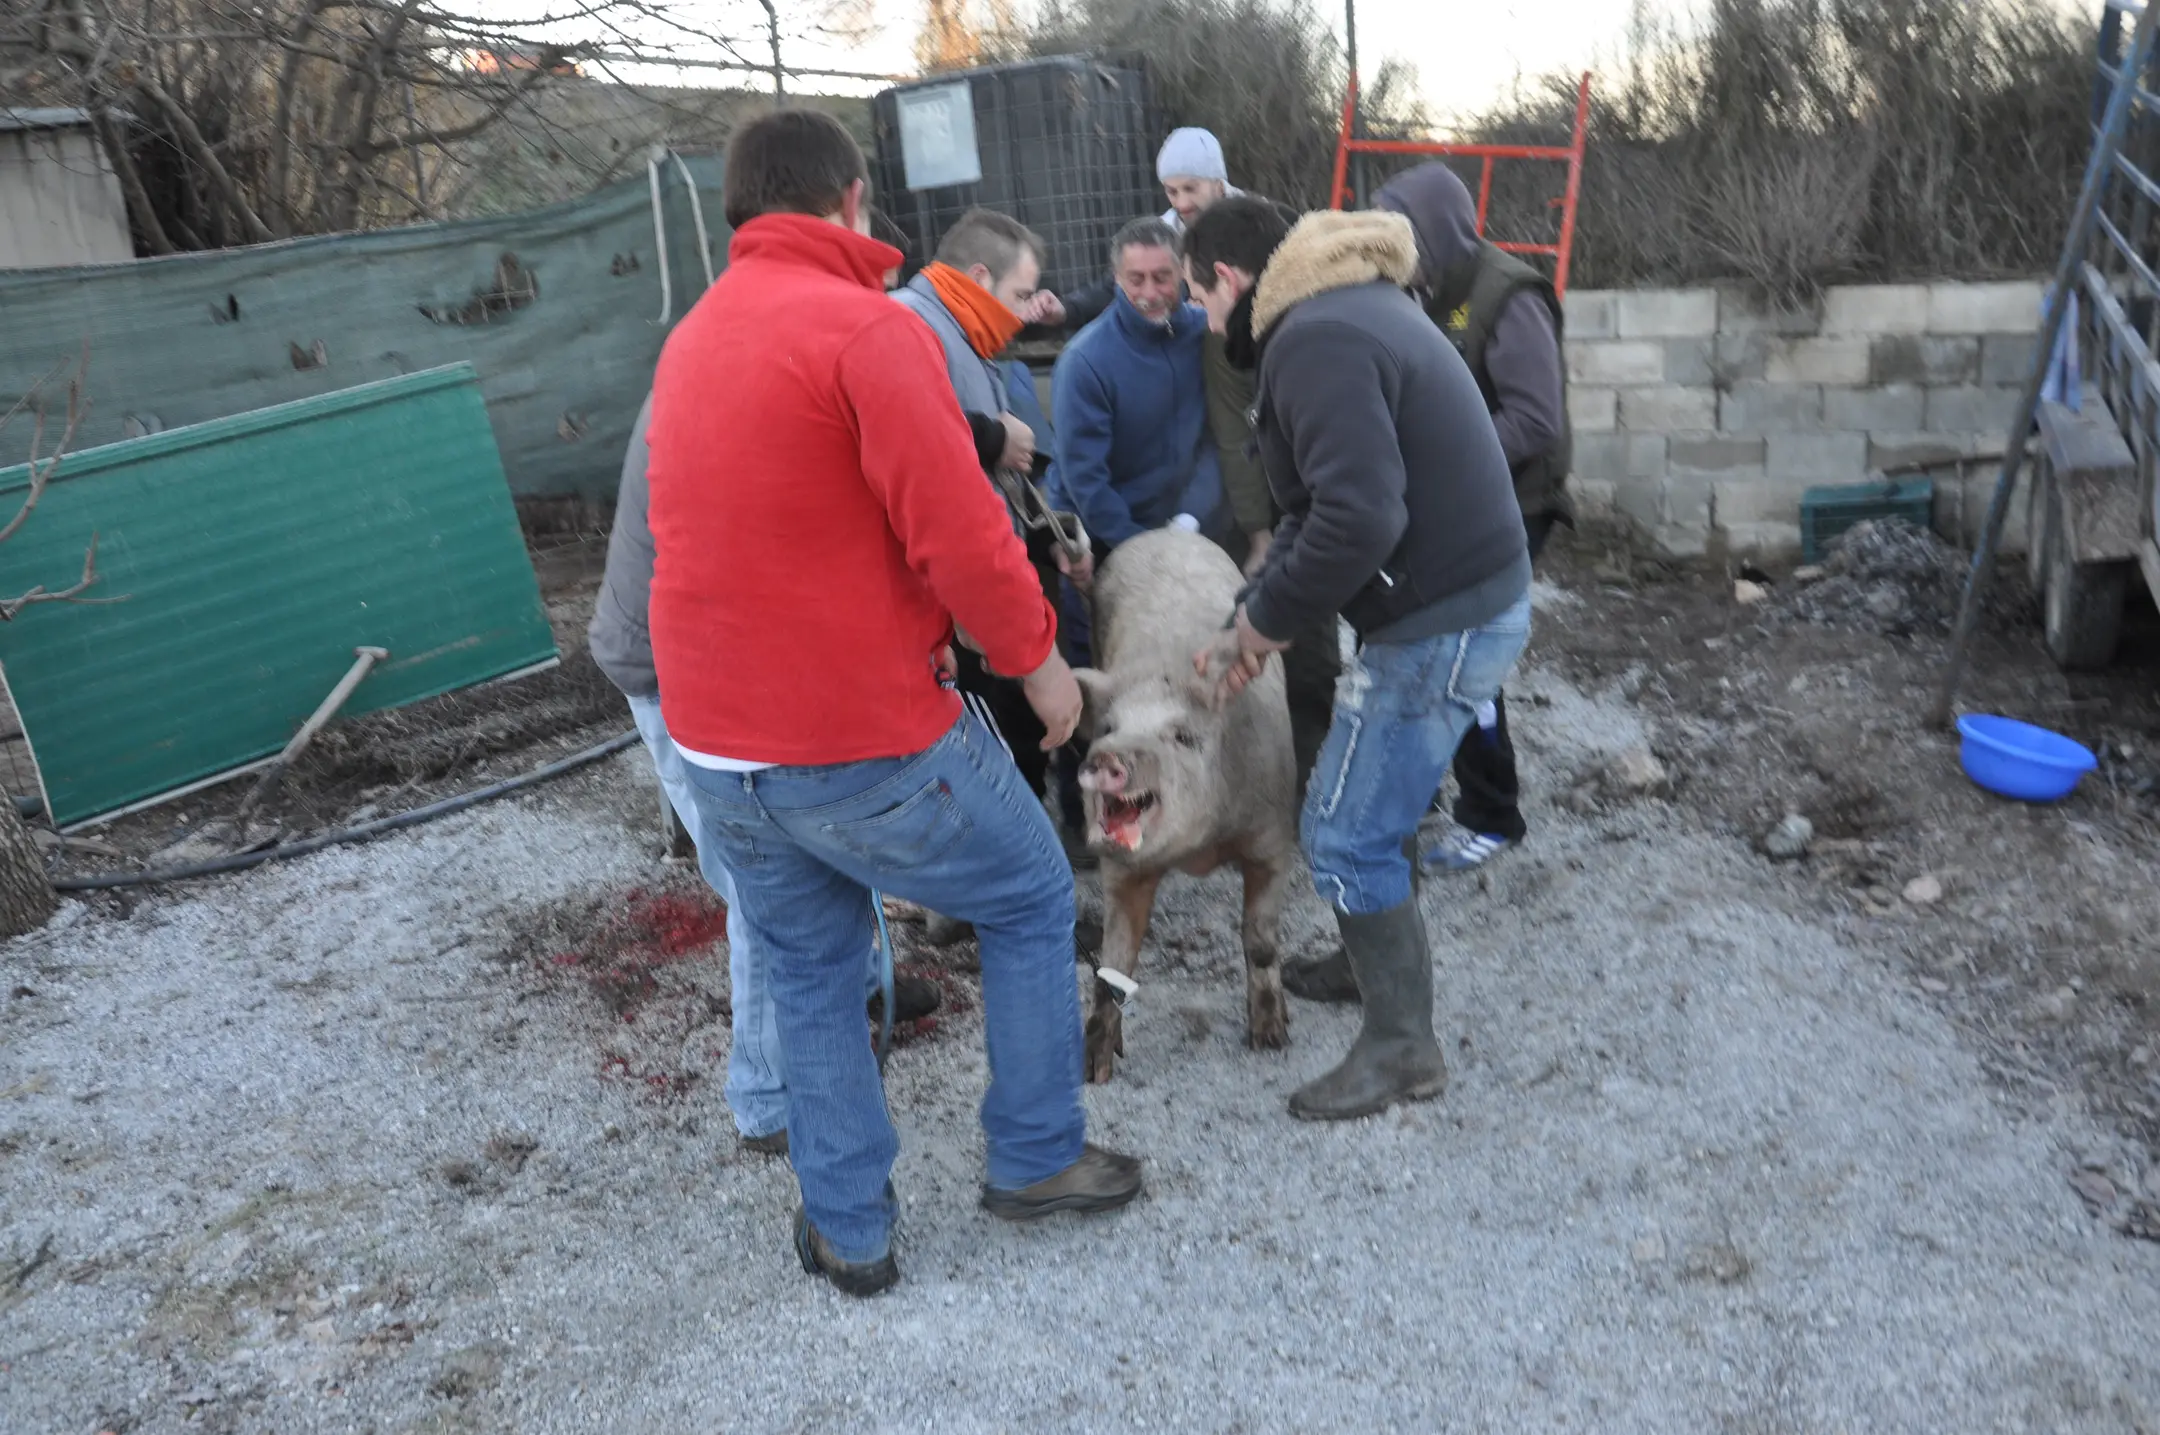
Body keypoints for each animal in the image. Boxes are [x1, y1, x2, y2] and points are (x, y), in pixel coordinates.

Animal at [1067, 531, 1287, 1080]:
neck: (1200, 849)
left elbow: (1260, 940)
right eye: (1108, 727)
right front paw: (1094, 1072)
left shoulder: (1273, 836)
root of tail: (1169, 530)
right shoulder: (1122, 871)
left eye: (1183, 736)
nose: (1108, 756)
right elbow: (1113, 963)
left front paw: (1270, 1040)